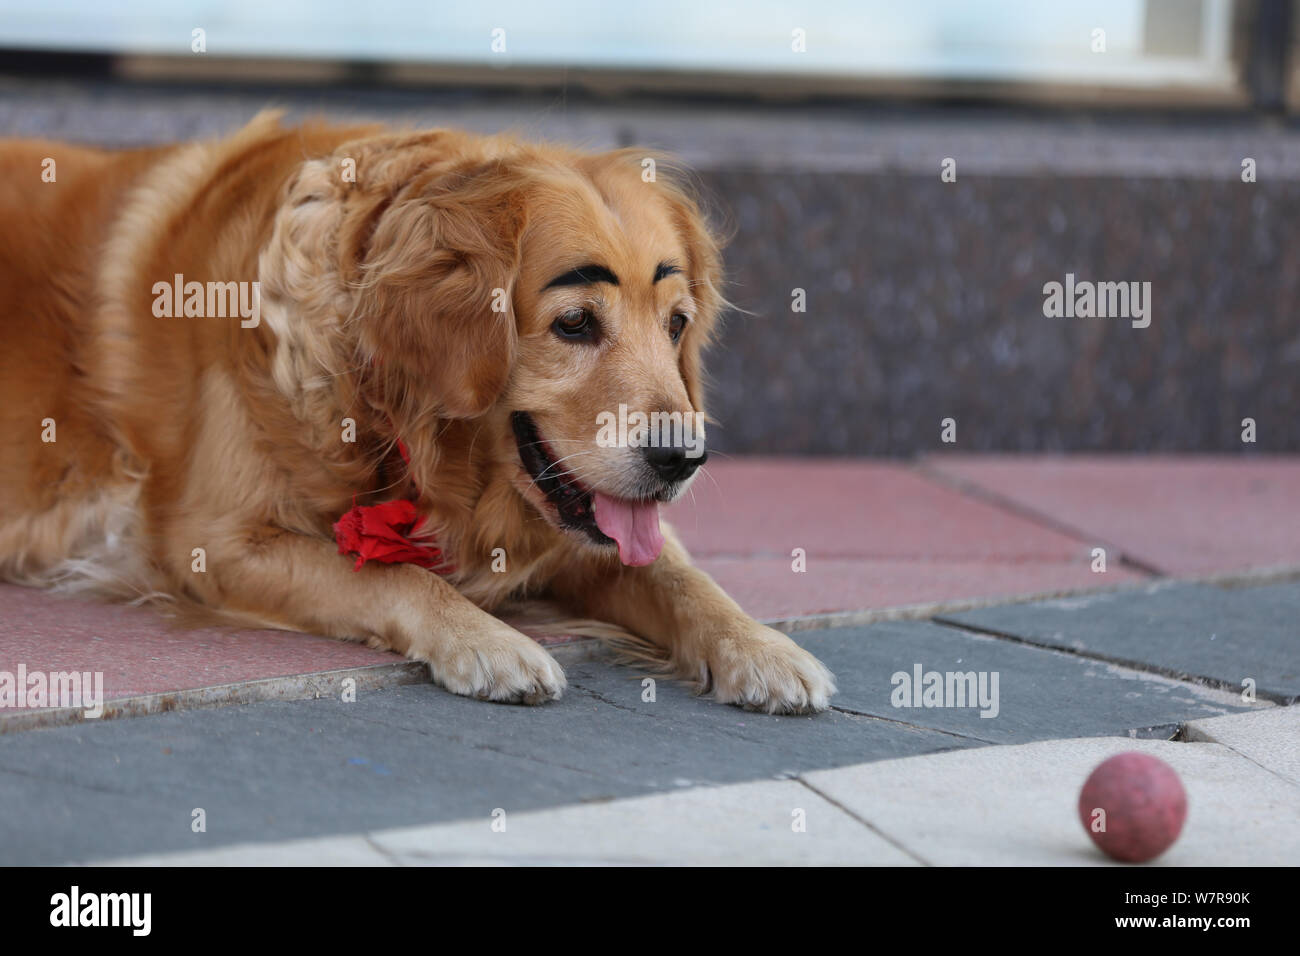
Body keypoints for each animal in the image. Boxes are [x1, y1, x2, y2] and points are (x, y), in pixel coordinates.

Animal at [0, 113, 832, 712]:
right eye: (574, 324)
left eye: (677, 324)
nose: (681, 459)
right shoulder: (213, 541)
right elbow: (393, 576)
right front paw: (487, 641)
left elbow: (677, 576)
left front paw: (763, 648)